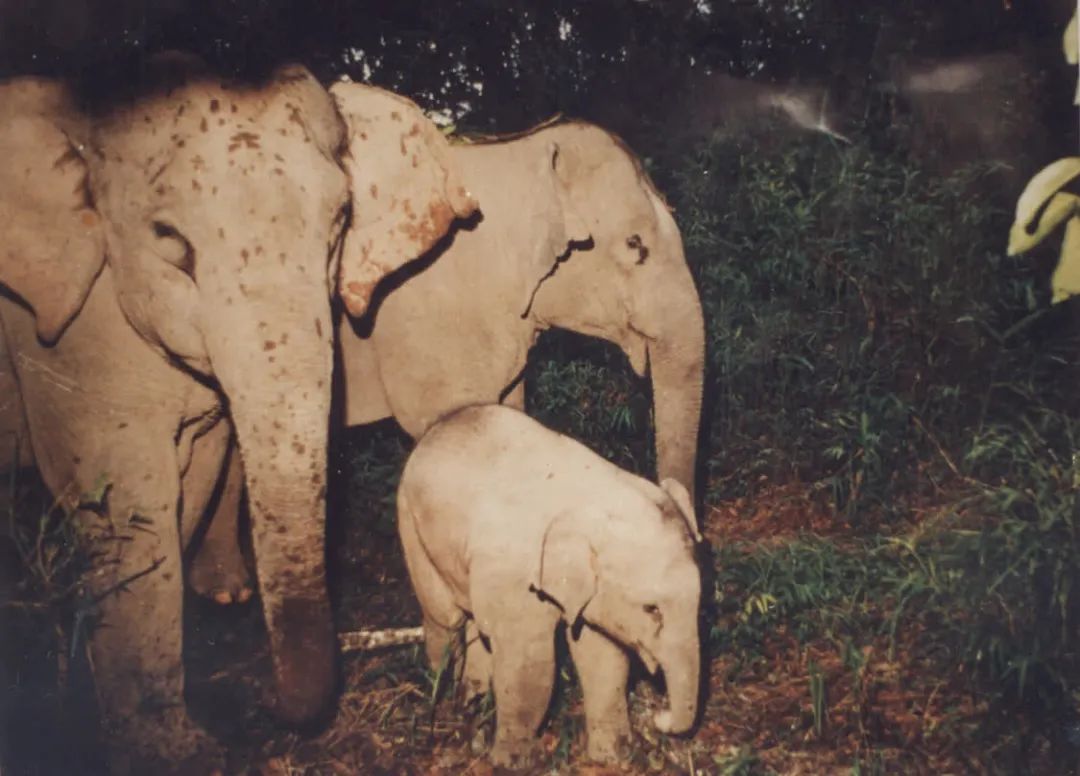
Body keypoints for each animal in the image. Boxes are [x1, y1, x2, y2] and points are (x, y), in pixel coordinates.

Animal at [0, 57, 473, 772]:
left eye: (341, 219)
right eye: (169, 240)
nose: (266, 706)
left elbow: (190, 474)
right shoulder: (61, 340)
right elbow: (127, 496)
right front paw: (174, 751)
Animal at [395, 403, 699, 768]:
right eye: (651, 609)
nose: (660, 716)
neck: (593, 497)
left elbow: (602, 654)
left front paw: (612, 756)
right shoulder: (514, 573)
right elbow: (529, 663)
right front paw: (512, 764)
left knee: (475, 623)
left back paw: (473, 699)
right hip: (409, 523)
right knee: (445, 618)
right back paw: (443, 702)